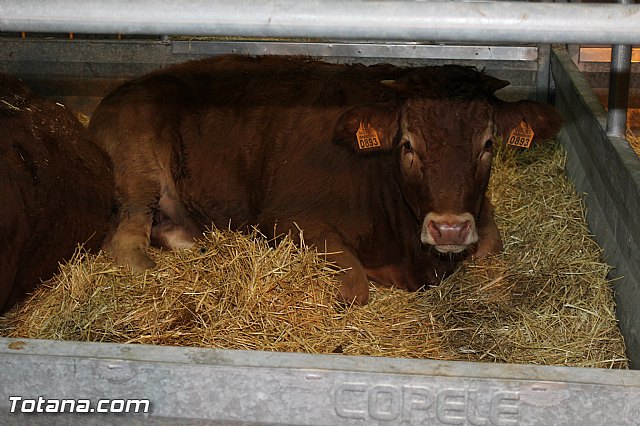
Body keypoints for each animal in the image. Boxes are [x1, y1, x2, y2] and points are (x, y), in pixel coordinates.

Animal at [89, 55, 560, 304]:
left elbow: (492, 248)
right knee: (126, 241)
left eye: (488, 143)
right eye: (407, 144)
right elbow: (354, 285)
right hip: (138, 171)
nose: (449, 228)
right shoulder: (290, 219)